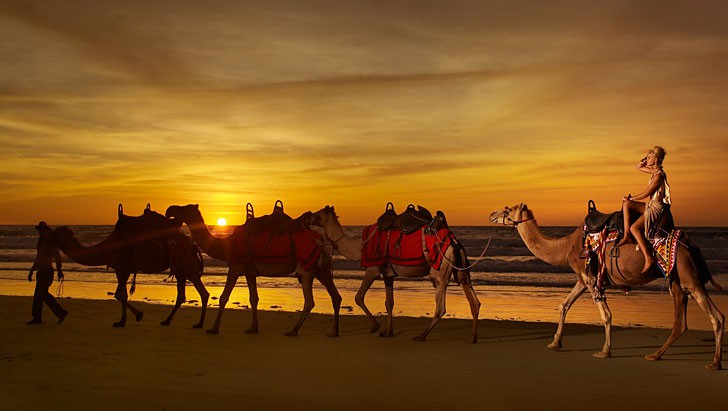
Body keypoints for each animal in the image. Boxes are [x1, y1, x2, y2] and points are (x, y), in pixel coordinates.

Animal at [51, 205, 206, 328]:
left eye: (56, 234)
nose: (48, 234)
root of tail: (193, 244)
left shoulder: (123, 268)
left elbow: (120, 295)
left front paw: (126, 320)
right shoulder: (120, 269)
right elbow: (119, 295)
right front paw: (132, 317)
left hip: (187, 267)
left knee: (200, 293)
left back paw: (198, 324)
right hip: (182, 270)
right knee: (183, 295)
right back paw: (168, 321)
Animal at [165, 203, 342, 338]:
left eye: (185, 208)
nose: (169, 210)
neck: (225, 245)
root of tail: (322, 244)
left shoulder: (235, 266)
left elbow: (224, 297)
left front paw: (213, 328)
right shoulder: (250, 271)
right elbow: (253, 298)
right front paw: (253, 328)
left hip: (306, 270)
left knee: (310, 301)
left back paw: (293, 330)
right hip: (322, 271)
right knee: (336, 297)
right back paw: (334, 332)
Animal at [310, 206, 480, 344]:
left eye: (319, 214)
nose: (308, 216)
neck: (359, 247)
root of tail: (454, 242)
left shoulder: (373, 269)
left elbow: (359, 297)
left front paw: (375, 326)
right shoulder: (388, 275)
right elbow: (389, 302)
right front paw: (388, 332)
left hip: (441, 272)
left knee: (441, 308)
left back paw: (421, 336)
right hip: (461, 270)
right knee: (474, 301)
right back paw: (472, 338)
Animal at [490, 203, 724, 370]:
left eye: (508, 208)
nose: (491, 214)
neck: (566, 247)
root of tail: (691, 245)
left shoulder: (589, 277)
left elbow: (606, 315)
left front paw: (605, 351)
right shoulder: (583, 278)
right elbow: (564, 305)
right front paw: (555, 343)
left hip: (688, 276)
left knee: (716, 316)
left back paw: (713, 362)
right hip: (677, 280)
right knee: (682, 321)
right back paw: (657, 355)